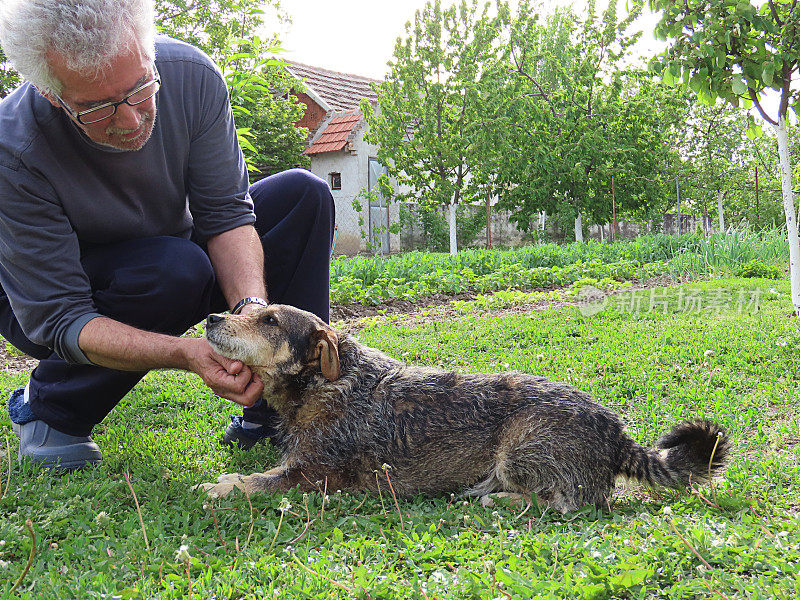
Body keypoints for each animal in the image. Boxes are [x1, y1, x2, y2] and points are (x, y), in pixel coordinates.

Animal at [197, 304, 728, 510]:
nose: (213, 315)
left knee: (570, 502)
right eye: (249, 310)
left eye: (269, 320)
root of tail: (617, 434)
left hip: (519, 446)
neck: (327, 382)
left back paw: (501, 499)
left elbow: (259, 481)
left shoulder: (315, 476)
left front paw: (224, 485)